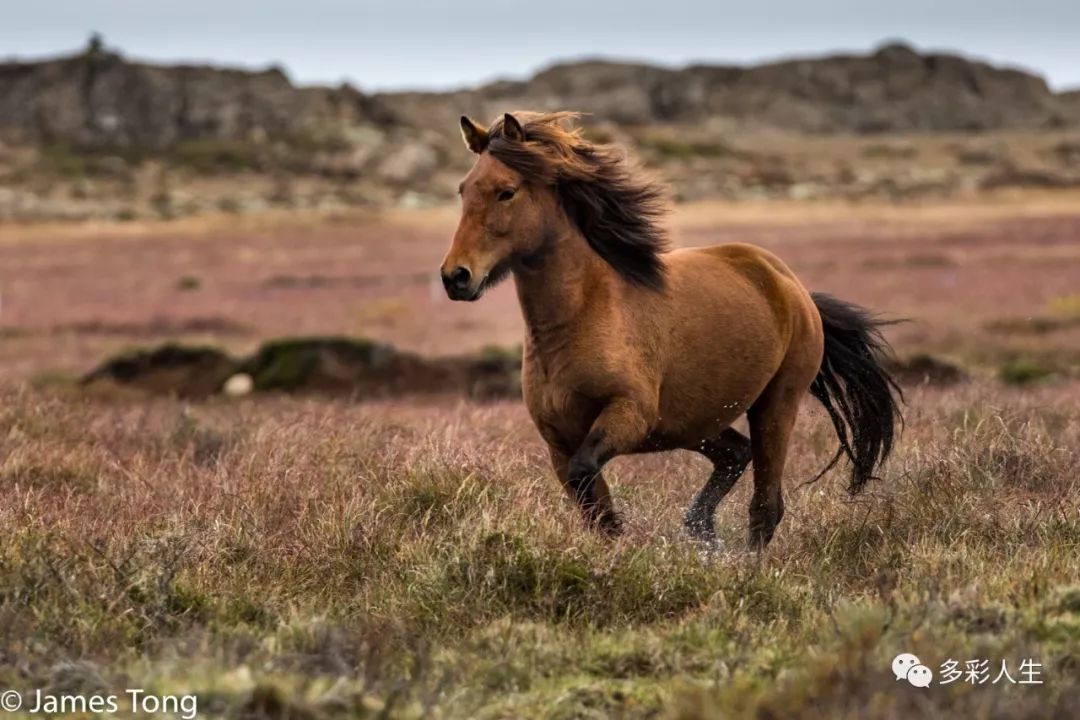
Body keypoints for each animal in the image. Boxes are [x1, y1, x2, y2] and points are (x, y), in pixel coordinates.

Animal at [438, 112, 902, 548]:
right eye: (463, 190)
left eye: (506, 191)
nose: (455, 277)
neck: (579, 317)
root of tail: (791, 285)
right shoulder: (559, 442)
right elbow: (590, 504)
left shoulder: (628, 415)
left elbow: (589, 481)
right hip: (692, 422)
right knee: (736, 455)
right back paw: (701, 530)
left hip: (775, 406)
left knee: (765, 507)